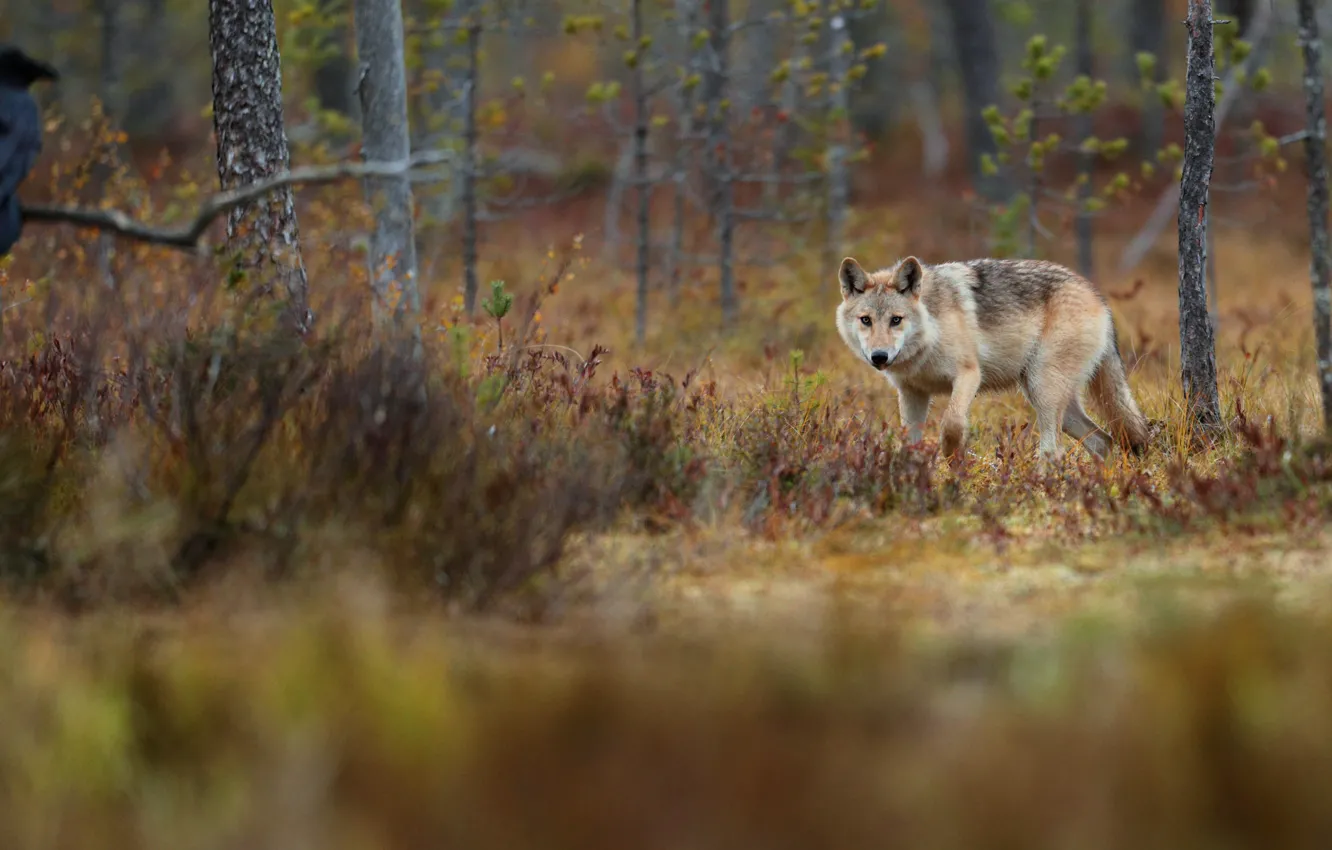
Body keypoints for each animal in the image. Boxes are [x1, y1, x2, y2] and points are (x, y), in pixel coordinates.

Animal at [834, 254, 1150, 463]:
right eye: (866, 320)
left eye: (896, 320)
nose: (879, 356)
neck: (928, 336)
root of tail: (1098, 297)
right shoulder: (912, 392)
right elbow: (910, 444)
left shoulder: (969, 375)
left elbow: (952, 424)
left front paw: (953, 457)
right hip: (1053, 401)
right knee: (1102, 441)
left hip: (1043, 391)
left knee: (1053, 451)